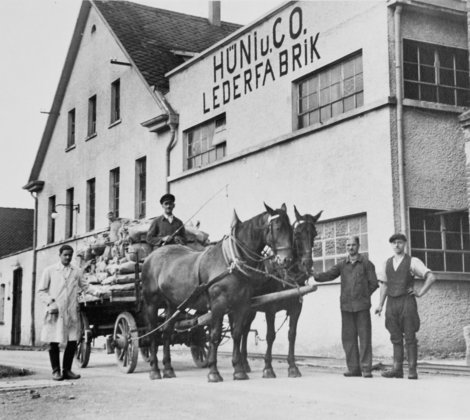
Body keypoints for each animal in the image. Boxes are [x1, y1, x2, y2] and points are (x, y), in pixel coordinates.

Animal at [140, 204, 294, 384]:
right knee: (153, 333)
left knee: (166, 333)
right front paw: (213, 372)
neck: (231, 260)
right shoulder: (218, 306)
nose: (286, 260)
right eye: (277, 227)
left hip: (172, 304)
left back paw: (168, 369)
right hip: (151, 303)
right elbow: (215, 336)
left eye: (290, 228)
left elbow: (237, 334)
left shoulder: (241, 305)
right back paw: (155, 370)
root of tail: (150, 258)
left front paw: (239, 371)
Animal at [239, 206, 324, 378]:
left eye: (314, 234)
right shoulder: (270, 309)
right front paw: (268, 368)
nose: (307, 263)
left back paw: (244, 364)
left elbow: (292, 334)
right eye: (296, 233)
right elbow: (271, 336)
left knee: (244, 330)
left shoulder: (296, 308)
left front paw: (292, 366)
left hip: (251, 310)